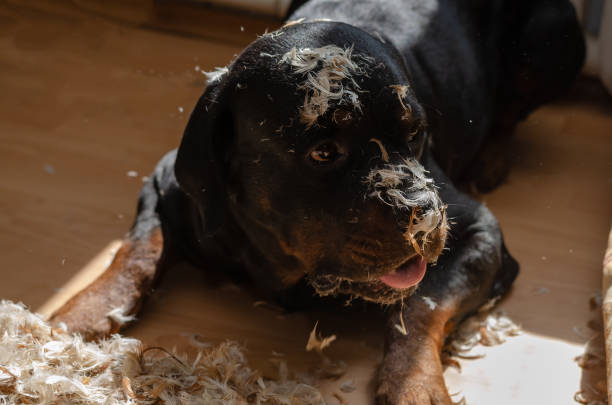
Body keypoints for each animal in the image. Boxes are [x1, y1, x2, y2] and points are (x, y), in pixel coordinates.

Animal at [51, 1, 584, 402]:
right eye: (324, 152)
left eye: (416, 134)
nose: (425, 212)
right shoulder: (168, 182)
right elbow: (138, 249)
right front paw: (85, 312)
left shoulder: (477, 230)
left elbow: (423, 304)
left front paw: (413, 382)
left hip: (549, 43)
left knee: (514, 111)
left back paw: (493, 157)